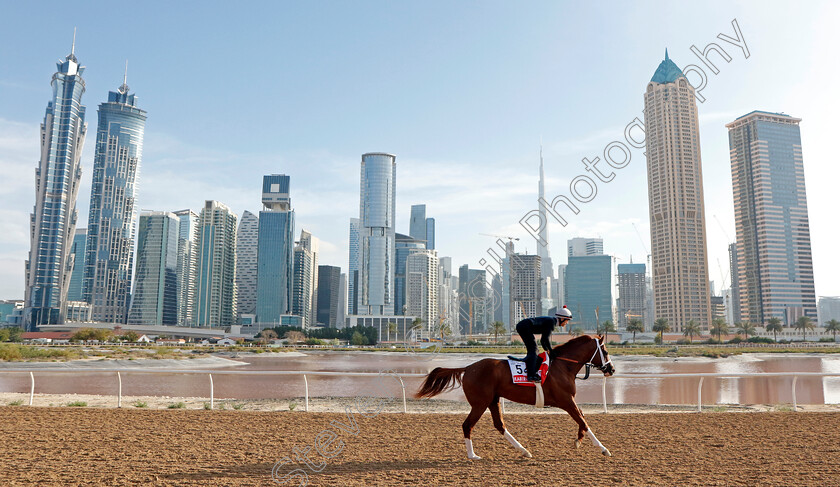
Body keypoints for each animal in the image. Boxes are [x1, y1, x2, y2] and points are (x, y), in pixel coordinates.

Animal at [416, 336, 612, 462]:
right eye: (604, 350)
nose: (612, 369)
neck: (563, 366)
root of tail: (469, 367)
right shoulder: (566, 400)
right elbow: (583, 421)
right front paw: (600, 447)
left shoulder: (568, 401)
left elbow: (582, 419)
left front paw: (583, 441)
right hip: (480, 403)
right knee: (467, 425)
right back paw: (472, 455)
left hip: (492, 401)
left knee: (499, 425)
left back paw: (524, 451)